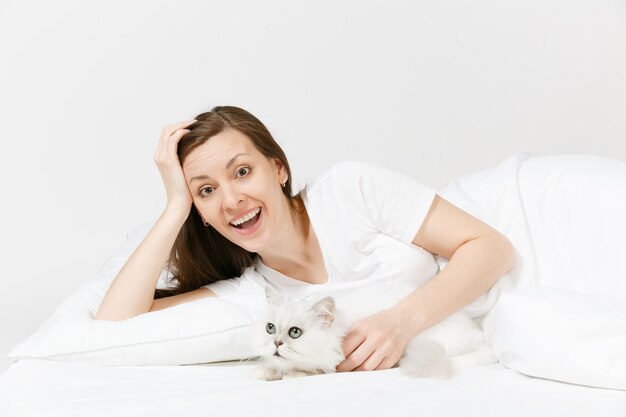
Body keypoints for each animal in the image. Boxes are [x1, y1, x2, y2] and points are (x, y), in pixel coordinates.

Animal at [249, 282, 498, 380]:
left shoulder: (334, 364)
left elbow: (311, 370)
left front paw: (289, 374)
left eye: (295, 333)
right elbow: (274, 365)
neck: (337, 332)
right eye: (270, 328)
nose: (276, 343)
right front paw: (266, 371)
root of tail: (479, 336)